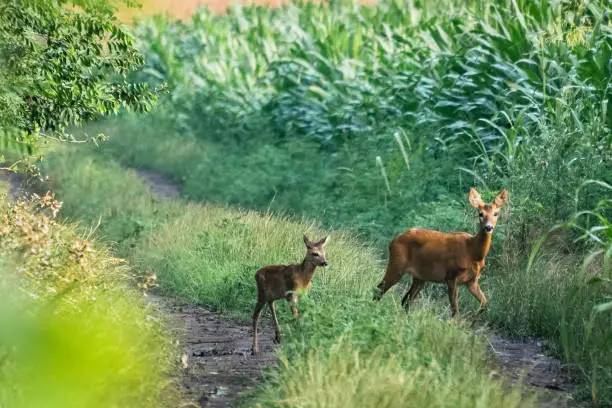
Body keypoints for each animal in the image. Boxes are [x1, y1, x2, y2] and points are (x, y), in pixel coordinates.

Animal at [372, 188, 506, 318]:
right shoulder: (451, 276)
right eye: (480, 214)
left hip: (419, 277)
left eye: (496, 214)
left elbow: (484, 304)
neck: (472, 252)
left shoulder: (472, 281)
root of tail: (393, 241)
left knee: (406, 300)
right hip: (397, 263)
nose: (488, 227)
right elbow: (455, 312)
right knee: (379, 289)